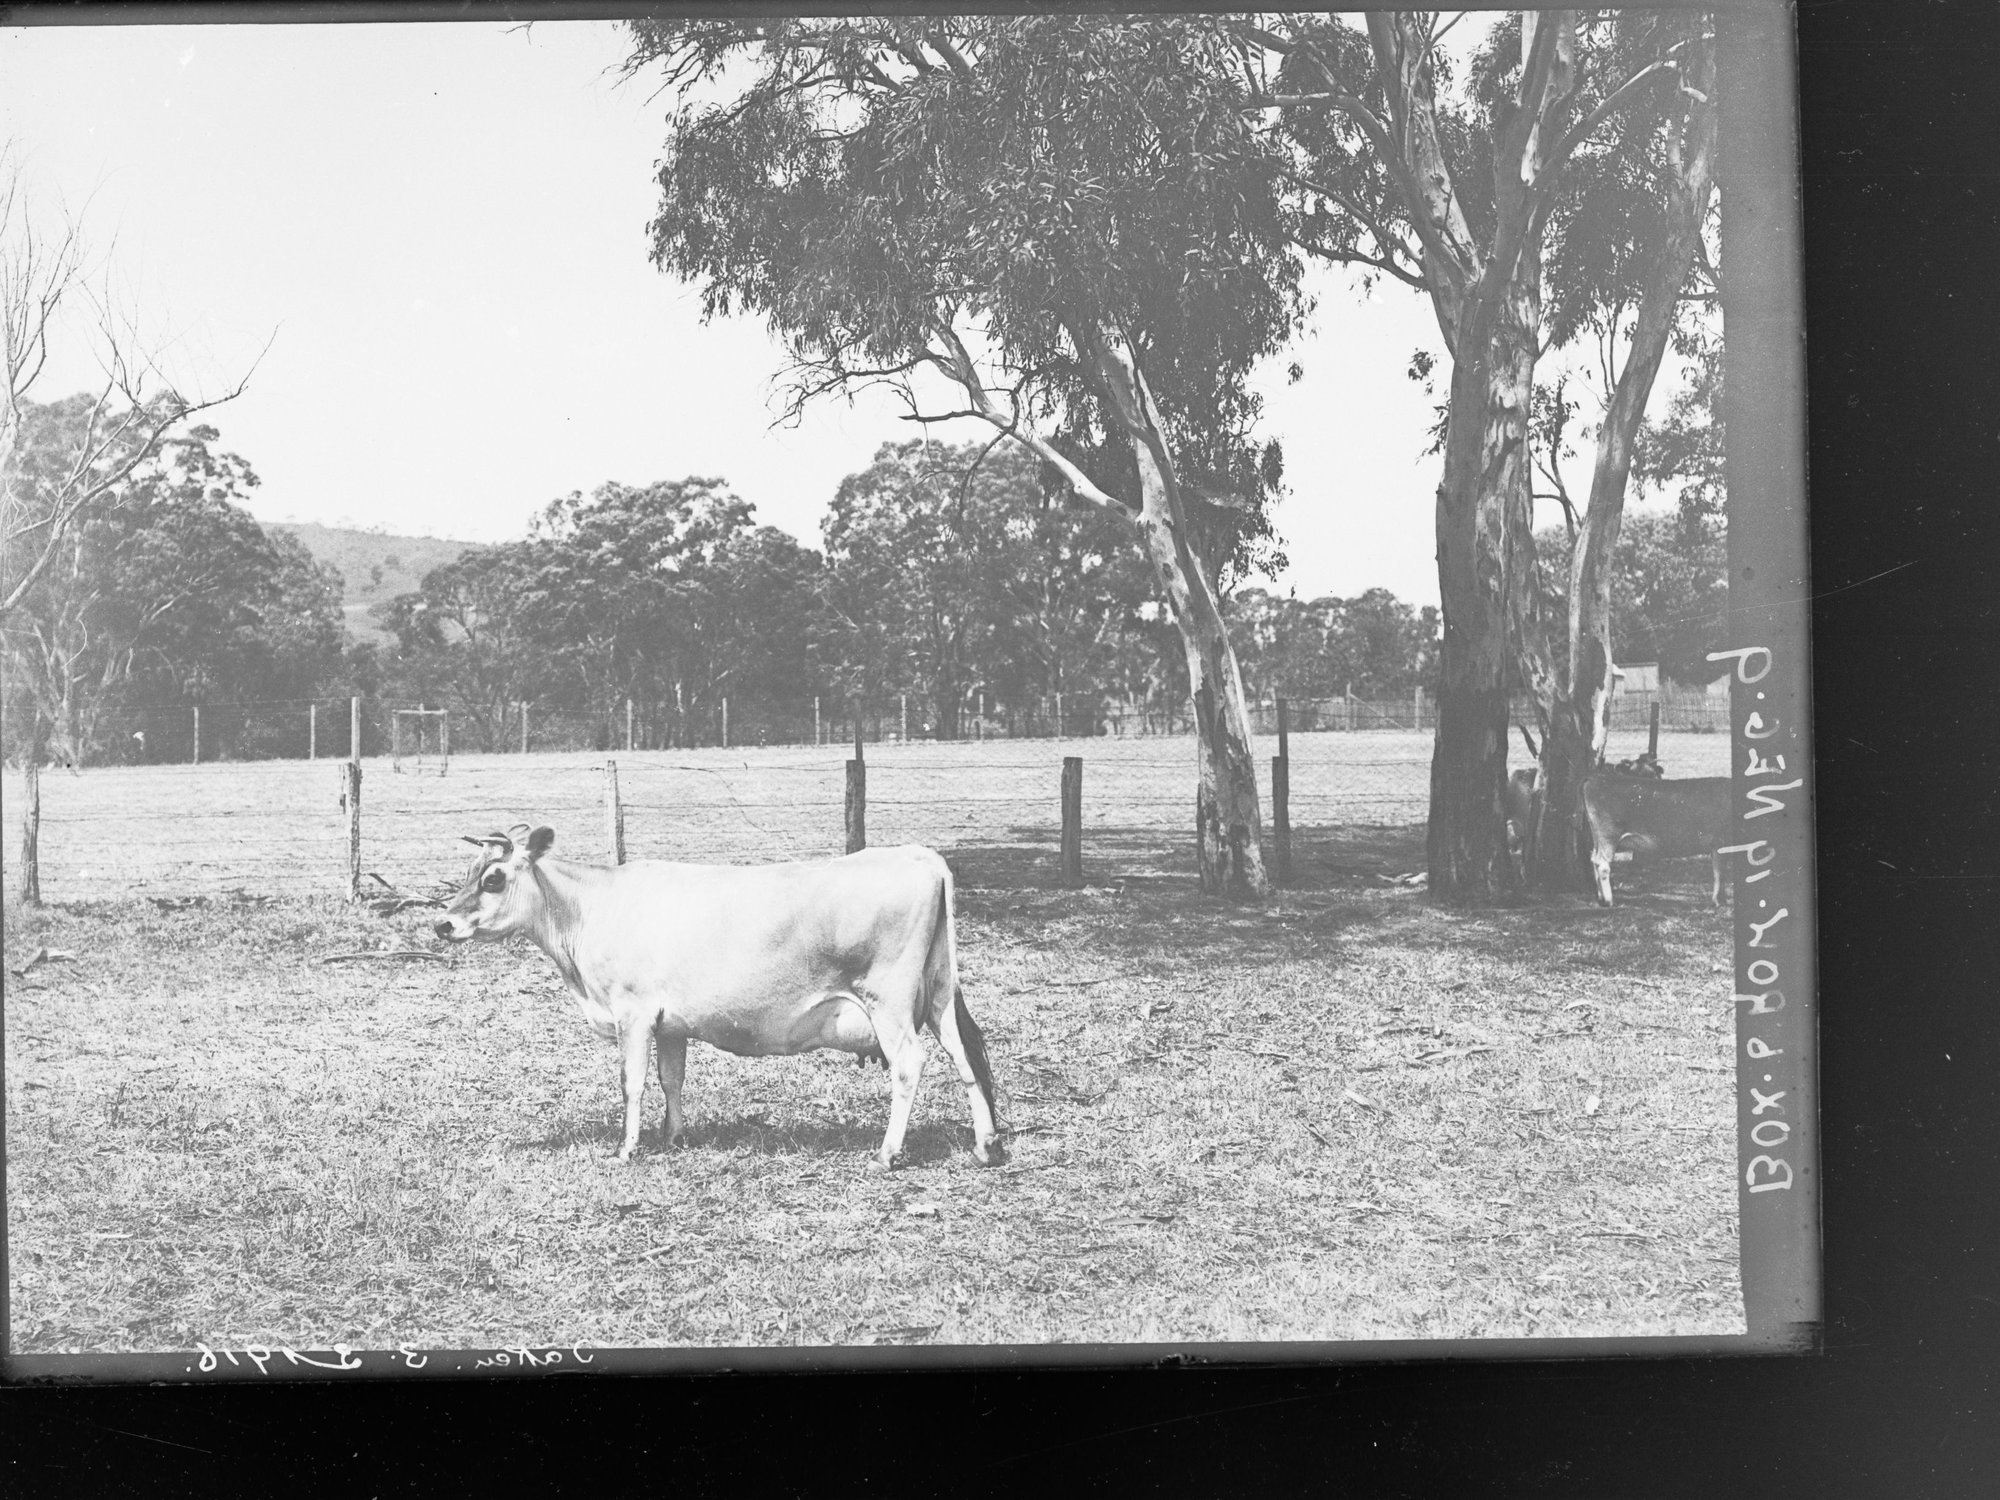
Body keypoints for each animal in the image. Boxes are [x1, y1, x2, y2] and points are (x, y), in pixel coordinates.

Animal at [434, 825, 1002, 1171]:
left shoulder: (633, 1013)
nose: (442, 923)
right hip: (938, 994)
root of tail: (917, 854)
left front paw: (627, 1148)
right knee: (965, 1058)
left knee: (910, 1063)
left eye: (493, 878)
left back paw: (887, 1153)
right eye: (468, 874)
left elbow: (632, 1084)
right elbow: (672, 1080)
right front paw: (674, 1136)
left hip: (889, 1002)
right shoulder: (669, 1024)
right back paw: (986, 1144)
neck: (591, 907)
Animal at [1580, 771, 1732, 907]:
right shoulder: (1720, 842)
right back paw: (1609, 901)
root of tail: (1594, 778)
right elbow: (1720, 873)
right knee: (1603, 864)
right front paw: (1719, 902)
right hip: (1608, 835)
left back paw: (1601, 898)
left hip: (1598, 838)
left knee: (1594, 859)